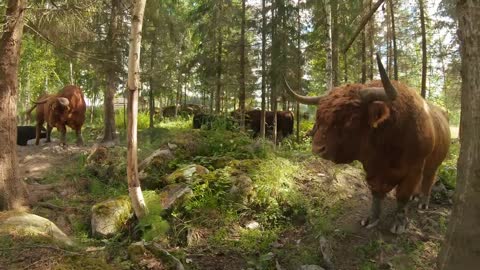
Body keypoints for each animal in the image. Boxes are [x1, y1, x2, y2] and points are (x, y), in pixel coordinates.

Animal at [286, 53, 452, 233]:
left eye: (351, 119)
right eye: (319, 116)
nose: (318, 148)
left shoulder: (414, 169)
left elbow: (402, 196)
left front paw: (399, 223)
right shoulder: (372, 169)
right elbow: (376, 193)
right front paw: (371, 219)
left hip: (433, 164)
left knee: (429, 179)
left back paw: (422, 203)